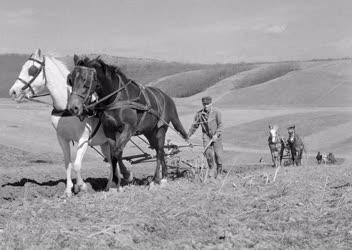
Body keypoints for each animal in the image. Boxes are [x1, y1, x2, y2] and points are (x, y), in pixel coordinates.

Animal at [8, 49, 132, 197]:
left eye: (32, 70)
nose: (13, 92)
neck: (66, 109)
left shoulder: (83, 139)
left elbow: (77, 164)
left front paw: (81, 186)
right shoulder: (62, 138)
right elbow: (67, 162)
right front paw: (68, 190)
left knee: (116, 159)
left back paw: (119, 183)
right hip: (105, 143)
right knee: (111, 161)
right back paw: (112, 185)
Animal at [67, 55, 188, 190]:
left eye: (85, 80)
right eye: (70, 80)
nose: (73, 108)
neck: (117, 97)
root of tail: (167, 98)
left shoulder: (128, 128)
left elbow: (117, 151)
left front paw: (126, 175)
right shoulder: (109, 129)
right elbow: (114, 154)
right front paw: (115, 182)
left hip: (160, 129)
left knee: (160, 151)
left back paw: (157, 179)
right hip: (149, 132)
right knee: (158, 151)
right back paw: (163, 176)